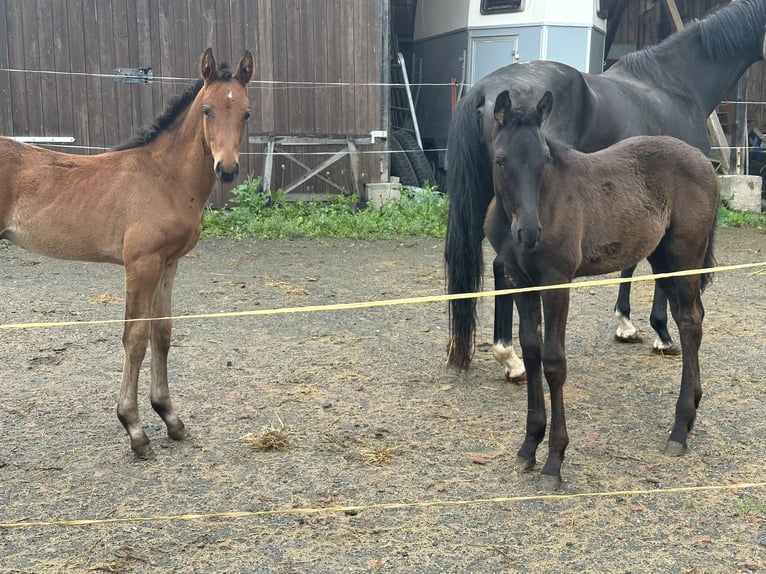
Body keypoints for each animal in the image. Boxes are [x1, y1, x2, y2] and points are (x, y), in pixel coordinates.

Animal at [444, 0, 766, 376]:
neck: (674, 84)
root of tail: (484, 89)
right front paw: (661, 333)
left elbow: (631, 257)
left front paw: (625, 322)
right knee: (501, 267)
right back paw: (511, 357)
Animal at [486, 90, 720, 490]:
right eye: (501, 160)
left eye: (544, 158)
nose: (530, 233)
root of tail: (704, 161)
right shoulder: (520, 281)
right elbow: (531, 352)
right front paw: (529, 445)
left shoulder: (556, 281)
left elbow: (554, 362)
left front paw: (554, 461)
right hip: (662, 257)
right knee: (690, 316)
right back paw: (689, 415)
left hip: (685, 254)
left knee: (691, 323)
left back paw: (679, 429)